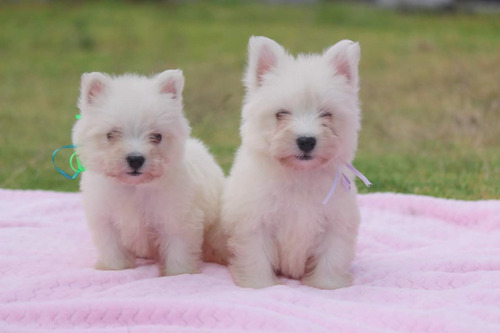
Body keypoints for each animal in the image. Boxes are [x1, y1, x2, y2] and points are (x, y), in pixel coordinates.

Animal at [72, 70, 225, 274]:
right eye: (111, 135)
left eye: (157, 136)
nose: (135, 159)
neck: (134, 188)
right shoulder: (105, 219)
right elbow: (111, 247)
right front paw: (114, 267)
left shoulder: (177, 219)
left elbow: (179, 250)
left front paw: (179, 273)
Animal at [223, 37, 364, 288]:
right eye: (281, 113)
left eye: (326, 114)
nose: (306, 141)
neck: (300, 174)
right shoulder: (254, 222)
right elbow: (255, 256)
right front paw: (259, 285)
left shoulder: (336, 223)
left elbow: (332, 257)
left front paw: (327, 285)